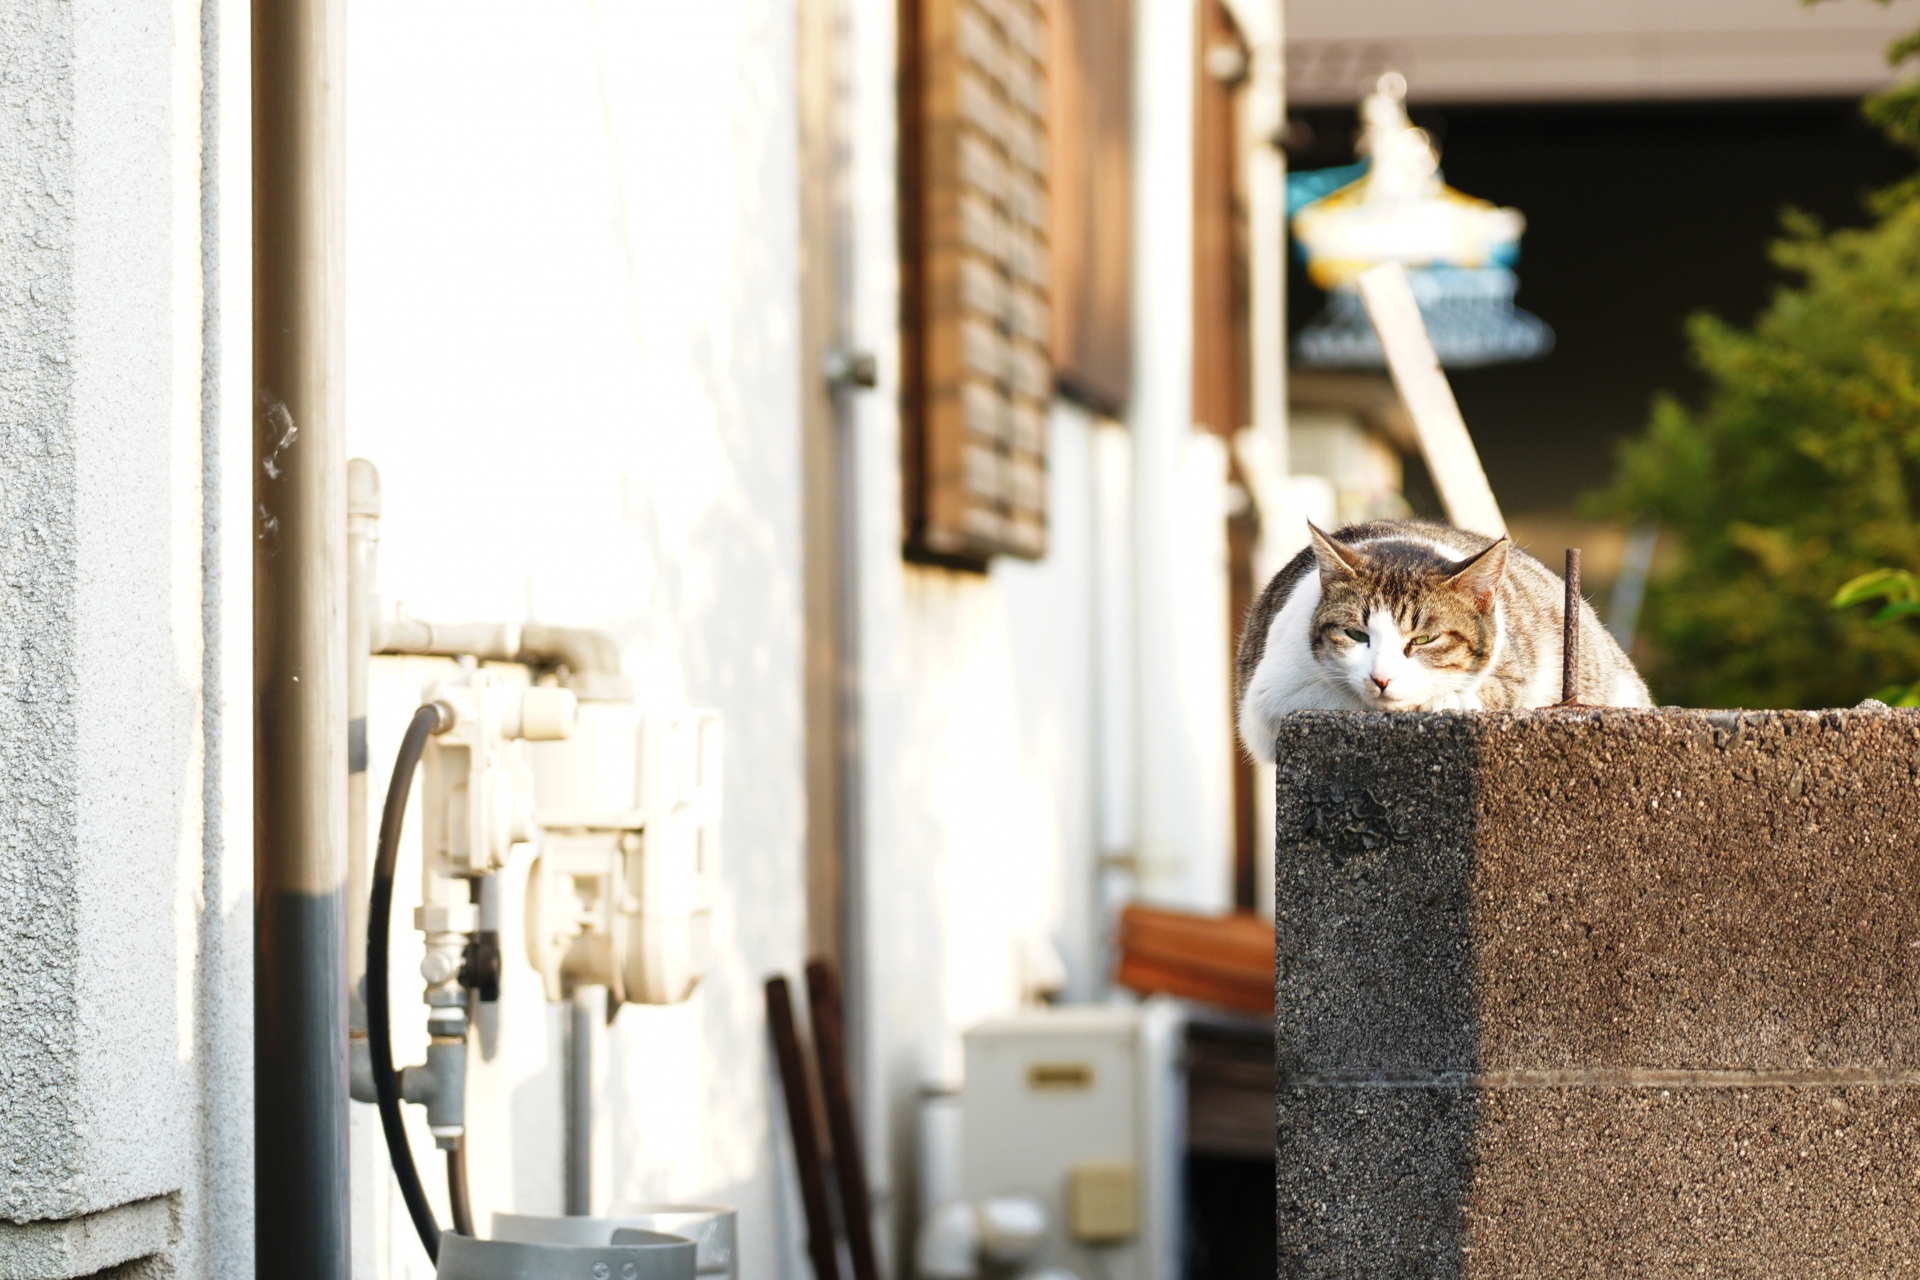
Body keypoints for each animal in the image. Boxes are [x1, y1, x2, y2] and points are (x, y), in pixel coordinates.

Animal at [1236, 521, 1658, 759]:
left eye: (1425, 639)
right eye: (1356, 635)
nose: (1381, 678)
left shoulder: (1513, 668)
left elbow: (1494, 689)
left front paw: (1445, 698)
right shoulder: (1270, 695)